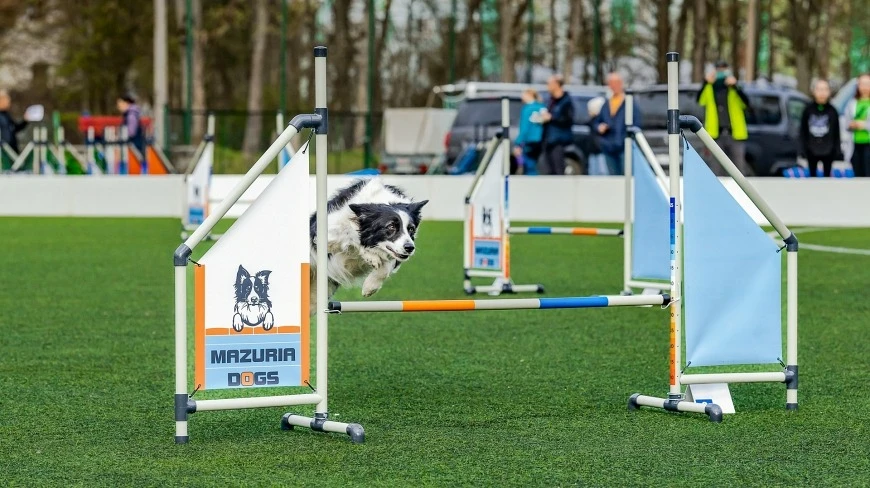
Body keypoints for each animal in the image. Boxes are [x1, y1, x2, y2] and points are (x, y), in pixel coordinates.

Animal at [314, 179, 430, 308]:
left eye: (411, 229)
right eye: (391, 227)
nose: (410, 248)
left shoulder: (397, 253)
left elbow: (386, 267)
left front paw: (370, 287)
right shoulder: (327, 233)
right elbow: (351, 235)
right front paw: (371, 256)